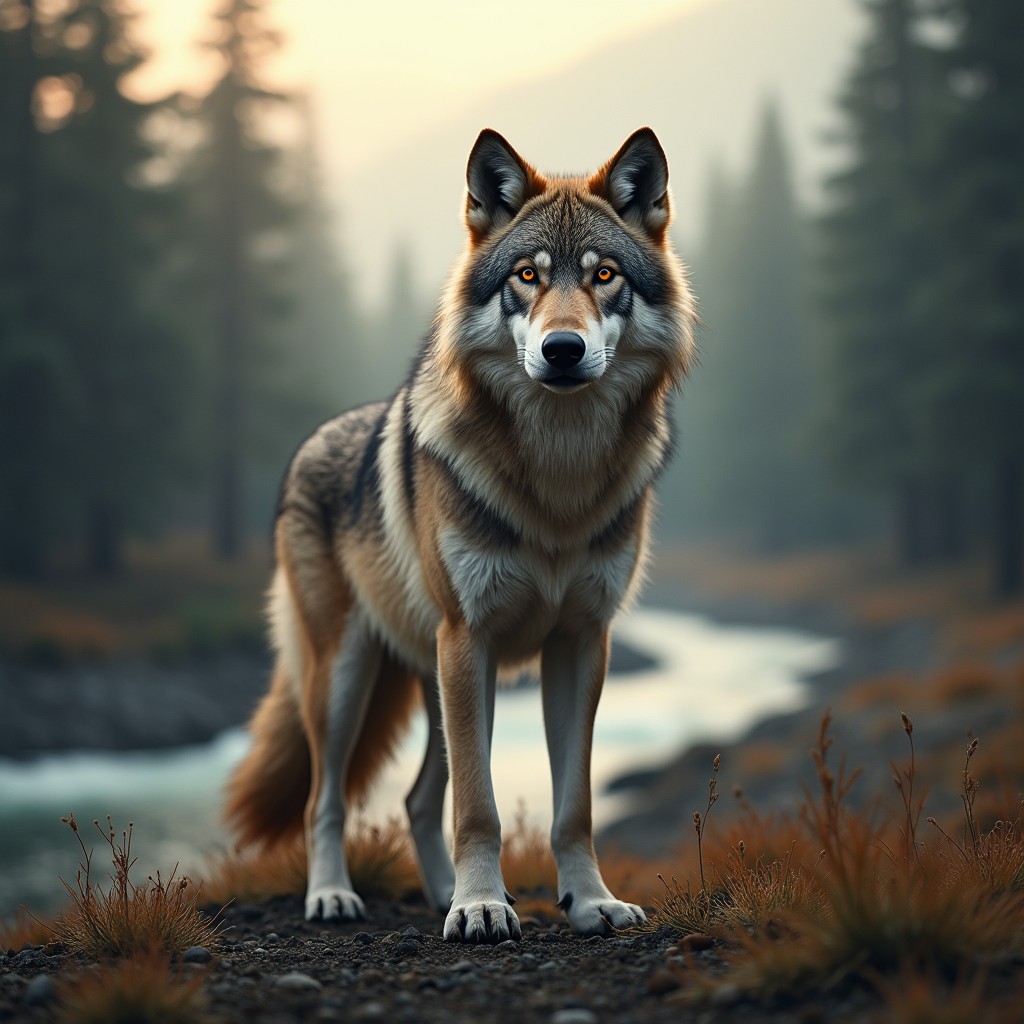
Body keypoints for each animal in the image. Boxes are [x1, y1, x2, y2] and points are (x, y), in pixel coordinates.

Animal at [225, 127, 696, 943]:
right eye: (526, 276)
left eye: (604, 275)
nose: (563, 349)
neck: (556, 482)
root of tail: (313, 440)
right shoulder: (469, 637)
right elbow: (477, 807)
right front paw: (480, 907)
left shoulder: (582, 643)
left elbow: (573, 807)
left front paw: (589, 901)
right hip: (352, 678)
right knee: (326, 798)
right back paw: (333, 896)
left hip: (439, 683)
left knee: (417, 799)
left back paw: (440, 892)